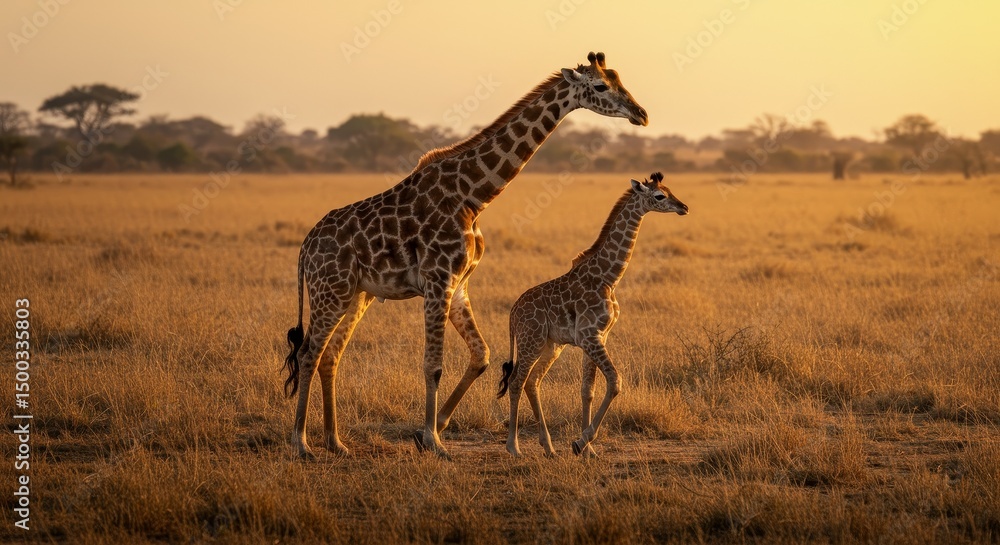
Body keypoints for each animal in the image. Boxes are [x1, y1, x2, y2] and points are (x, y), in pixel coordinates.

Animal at [283, 52, 649, 459]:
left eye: (620, 79)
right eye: (601, 85)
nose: (640, 113)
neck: (473, 196)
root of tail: (305, 248)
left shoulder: (459, 284)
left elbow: (481, 355)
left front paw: (429, 431)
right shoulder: (438, 281)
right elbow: (433, 364)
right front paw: (434, 441)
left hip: (356, 294)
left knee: (330, 355)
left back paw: (336, 442)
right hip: (329, 291)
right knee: (308, 353)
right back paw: (301, 443)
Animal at [497, 172, 688, 457]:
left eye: (670, 190)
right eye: (659, 195)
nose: (684, 207)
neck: (609, 278)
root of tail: (512, 313)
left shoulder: (598, 337)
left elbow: (588, 389)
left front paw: (588, 450)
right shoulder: (590, 336)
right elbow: (615, 381)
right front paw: (581, 441)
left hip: (551, 345)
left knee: (532, 382)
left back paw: (549, 447)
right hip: (531, 341)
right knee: (517, 381)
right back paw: (514, 447)